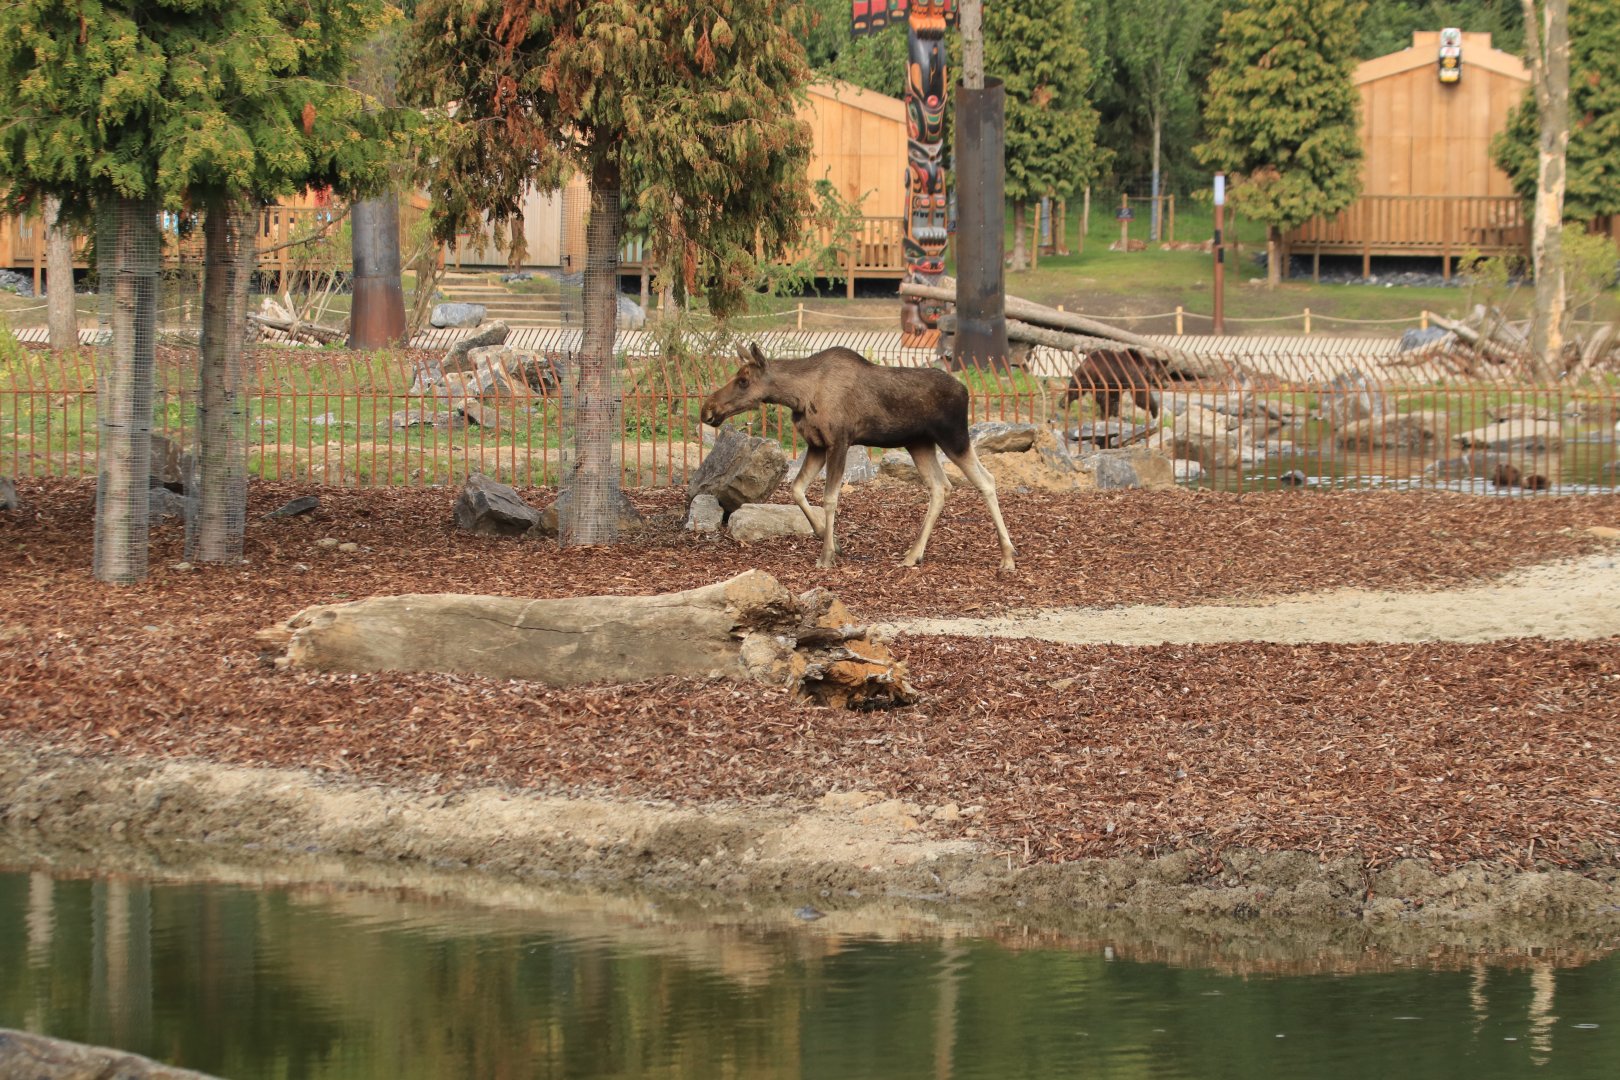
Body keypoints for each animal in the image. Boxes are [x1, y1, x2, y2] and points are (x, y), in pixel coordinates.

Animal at [700, 343, 1016, 572]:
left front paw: (827, 555)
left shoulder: (839, 441)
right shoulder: (816, 445)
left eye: (743, 380)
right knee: (941, 487)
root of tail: (966, 391)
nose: (708, 408)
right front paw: (830, 540)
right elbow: (797, 488)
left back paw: (1008, 557)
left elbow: (829, 498)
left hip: (954, 437)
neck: (799, 395)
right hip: (920, 444)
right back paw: (913, 554)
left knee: (986, 480)